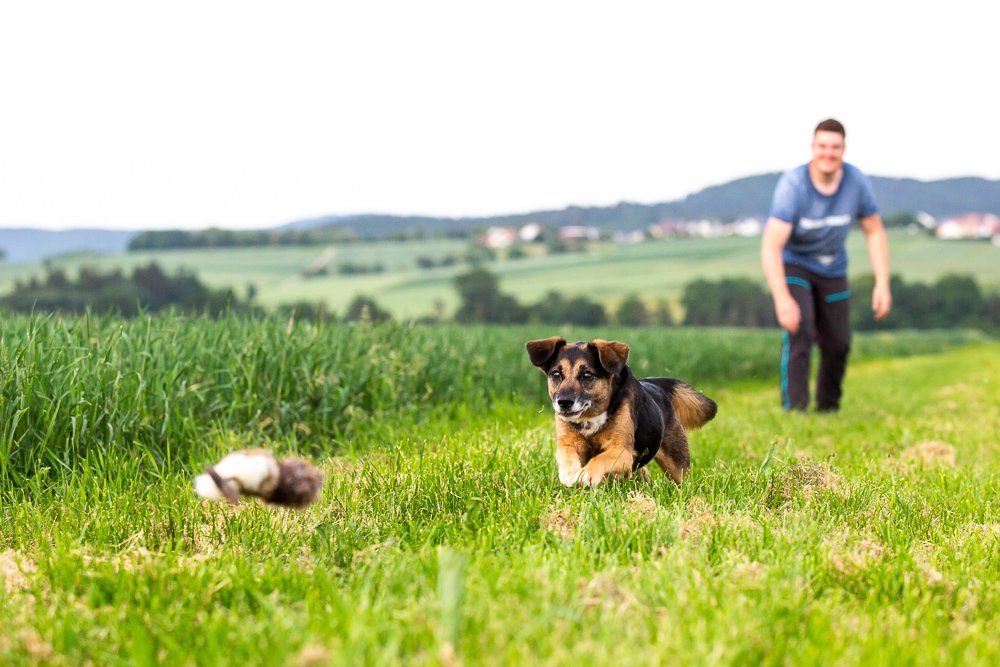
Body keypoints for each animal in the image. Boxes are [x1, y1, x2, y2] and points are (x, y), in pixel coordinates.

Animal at [524, 336, 720, 488]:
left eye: (587, 375)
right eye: (556, 374)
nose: (563, 402)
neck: (590, 418)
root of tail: (656, 385)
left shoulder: (622, 452)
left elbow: (600, 459)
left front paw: (587, 474)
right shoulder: (568, 442)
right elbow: (567, 455)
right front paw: (570, 473)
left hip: (676, 463)